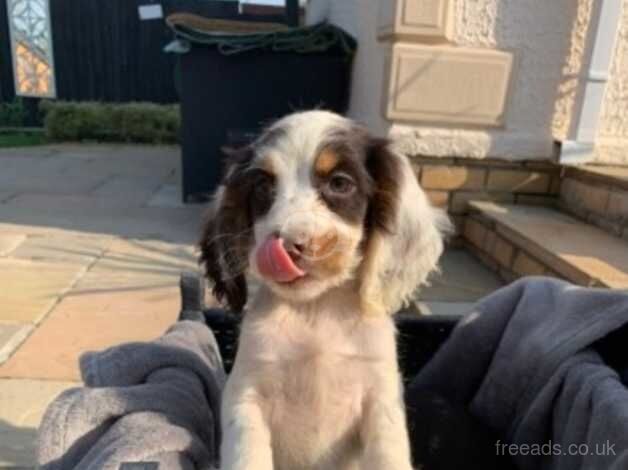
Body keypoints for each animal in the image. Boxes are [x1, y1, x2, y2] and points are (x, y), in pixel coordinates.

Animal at [201, 111, 452, 470]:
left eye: (339, 183)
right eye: (262, 186)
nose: (288, 245)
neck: (315, 310)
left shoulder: (381, 399)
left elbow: (389, 456)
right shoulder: (245, 395)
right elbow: (248, 456)